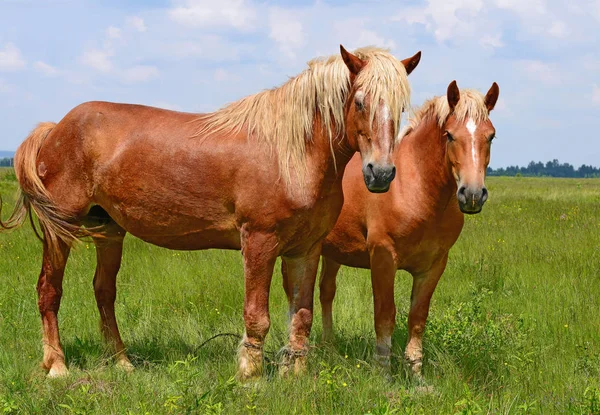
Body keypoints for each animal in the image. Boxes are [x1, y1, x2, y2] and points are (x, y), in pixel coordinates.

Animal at [0, 45, 422, 380]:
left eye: (401, 107)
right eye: (360, 101)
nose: (381, 174)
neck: (290, 152)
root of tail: (56, 128)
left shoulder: (306, 249)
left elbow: (301, 316)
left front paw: (295, 375)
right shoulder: (259, 241)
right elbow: (257, 316)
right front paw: (250, 375)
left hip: (110, 231)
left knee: (104, 292)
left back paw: (122, 362)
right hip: (61, 230)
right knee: (49, 291)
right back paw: (57, 365)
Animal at [284, 80, 500, 376]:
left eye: (490, 136)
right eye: (449, 135)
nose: (473, 195)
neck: (416, 188)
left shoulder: (433, 266)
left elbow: (418, 318)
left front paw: (416, 372)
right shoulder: (383, 258)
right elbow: (385, 315)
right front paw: (383, 371)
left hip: (331, 252)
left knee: (326, 291)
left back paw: (329, 345)